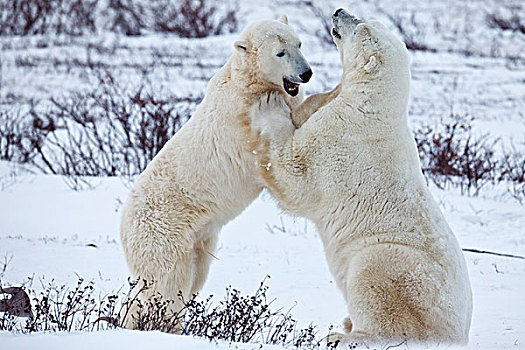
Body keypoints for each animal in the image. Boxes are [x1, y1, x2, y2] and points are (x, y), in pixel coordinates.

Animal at [118, 14, 312, 330]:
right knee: (166, 282)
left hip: (197, 239)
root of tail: (124, 223)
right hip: (162, 232)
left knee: (190, 277)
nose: (306, 73)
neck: (246, 84)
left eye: (299, 43)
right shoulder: (244, 124)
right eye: (280, 52)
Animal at [248, 8, 472, 348]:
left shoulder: (337, 139)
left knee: (376, 286)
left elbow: (297, 177)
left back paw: (345, 333)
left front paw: (267, 106)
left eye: (361, 27)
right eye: (371, 20)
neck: (372, 107)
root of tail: (456, 335)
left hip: (395, 266)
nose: (339, 11)